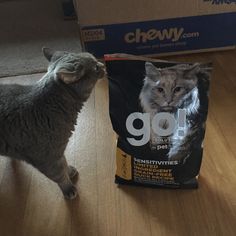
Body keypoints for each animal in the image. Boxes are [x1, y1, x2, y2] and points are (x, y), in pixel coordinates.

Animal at [0, 47, 105, 199]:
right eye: (96, 67)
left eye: (96, 60)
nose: (103, 65)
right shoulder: (48, 159)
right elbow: (60, 176)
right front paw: (68, 188)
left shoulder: (58, 151)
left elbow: (64, 162)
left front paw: (69, 171)